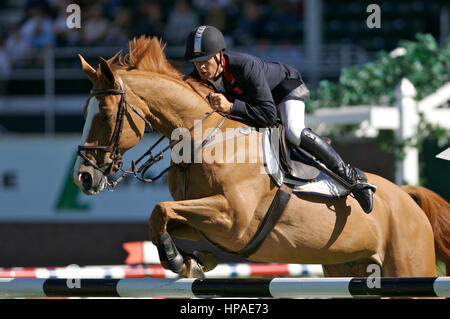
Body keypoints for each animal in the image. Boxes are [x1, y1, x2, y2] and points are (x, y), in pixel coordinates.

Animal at [72, 36, 448, 278]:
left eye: (105, 114)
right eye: (85, 112)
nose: (83, 177)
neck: (203, 140)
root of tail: (407, 197)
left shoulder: (232, 220)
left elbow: (160, 210)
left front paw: (182, 262)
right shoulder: (208, 221)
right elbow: (161, 218)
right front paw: (195, 260)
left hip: (408, 265)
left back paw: (362, 188)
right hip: (347, 265)